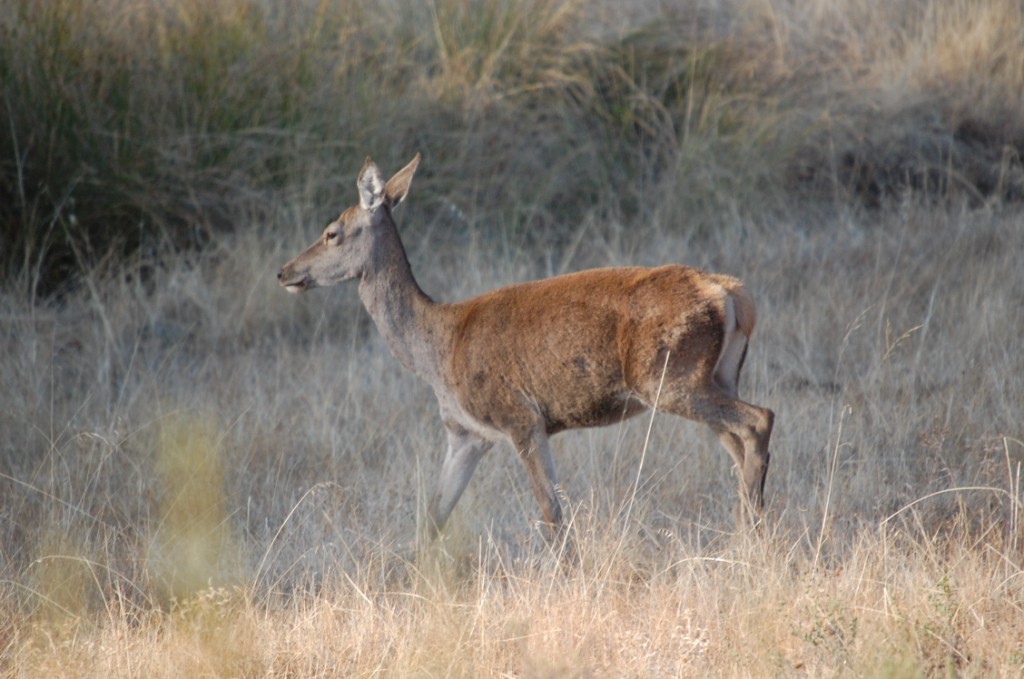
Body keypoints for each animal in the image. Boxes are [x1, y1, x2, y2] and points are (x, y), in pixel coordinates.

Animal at [276, 155, 770, 548]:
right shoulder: (466, 434)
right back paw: (751, 533)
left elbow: (552, 513)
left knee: (759, 419)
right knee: (739, 443)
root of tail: (733, 295)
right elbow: (433, 517)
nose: (285, 271)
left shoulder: (520, 417)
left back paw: (751, 537)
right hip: (716, 375)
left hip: (669, 377)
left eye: (332, 232)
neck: (436, 349)